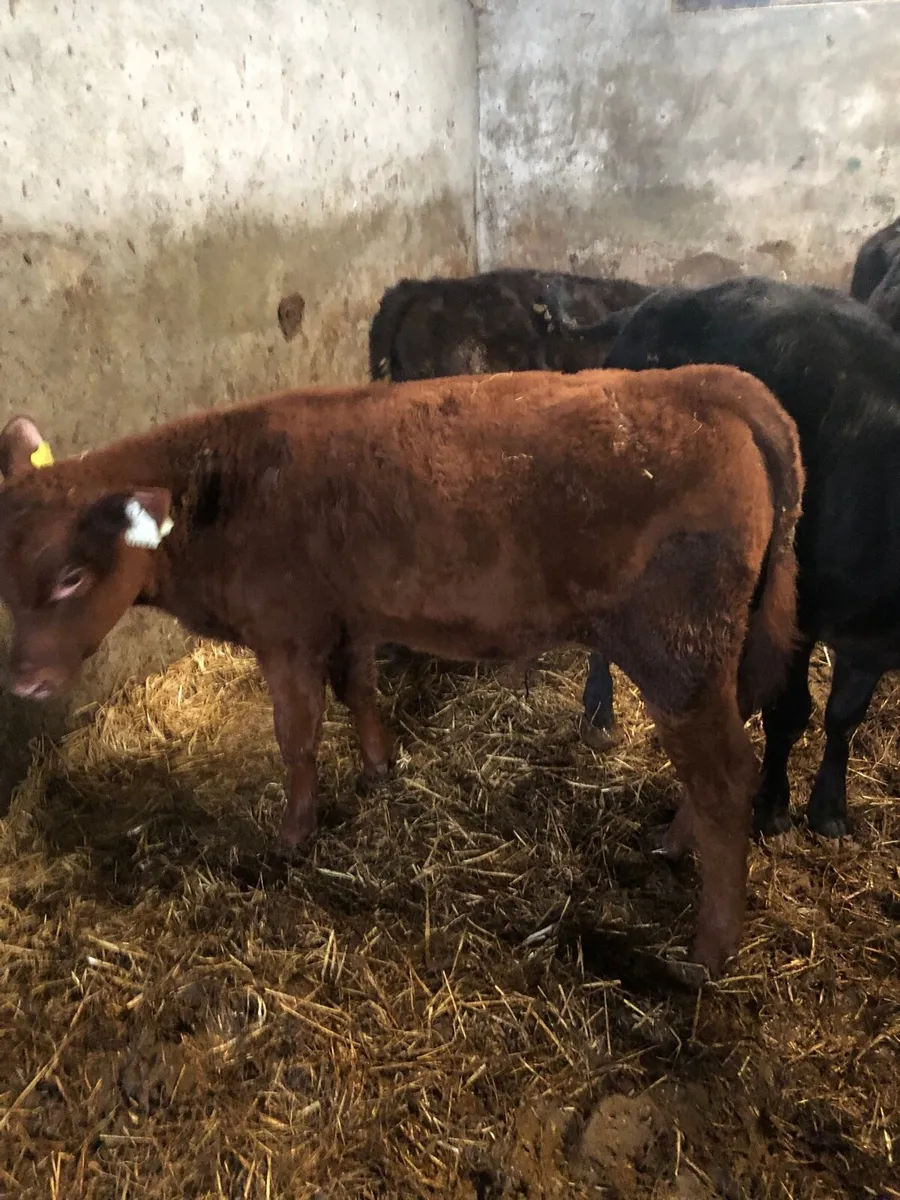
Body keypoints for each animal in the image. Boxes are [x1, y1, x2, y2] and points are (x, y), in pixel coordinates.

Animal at [0, 365, 803, 976]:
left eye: (71, 576)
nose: (25, 683)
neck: (226, 487)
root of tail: (703, 382)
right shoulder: (348, 619)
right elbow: (359, 693)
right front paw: (380, 770)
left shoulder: (285, 634)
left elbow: (296, 737)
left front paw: (293, 835)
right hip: (714, 655)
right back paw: (674, 842)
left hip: (676, 655)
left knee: (726, 776)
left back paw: (708, 947)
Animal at [535, 274, 900, 841]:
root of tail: (651, 304)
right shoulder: (798, 612)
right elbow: (790, 711)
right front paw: (771, 808)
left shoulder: (871, 643)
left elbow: (845, 713)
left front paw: (829, 809)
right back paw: (599, 716)